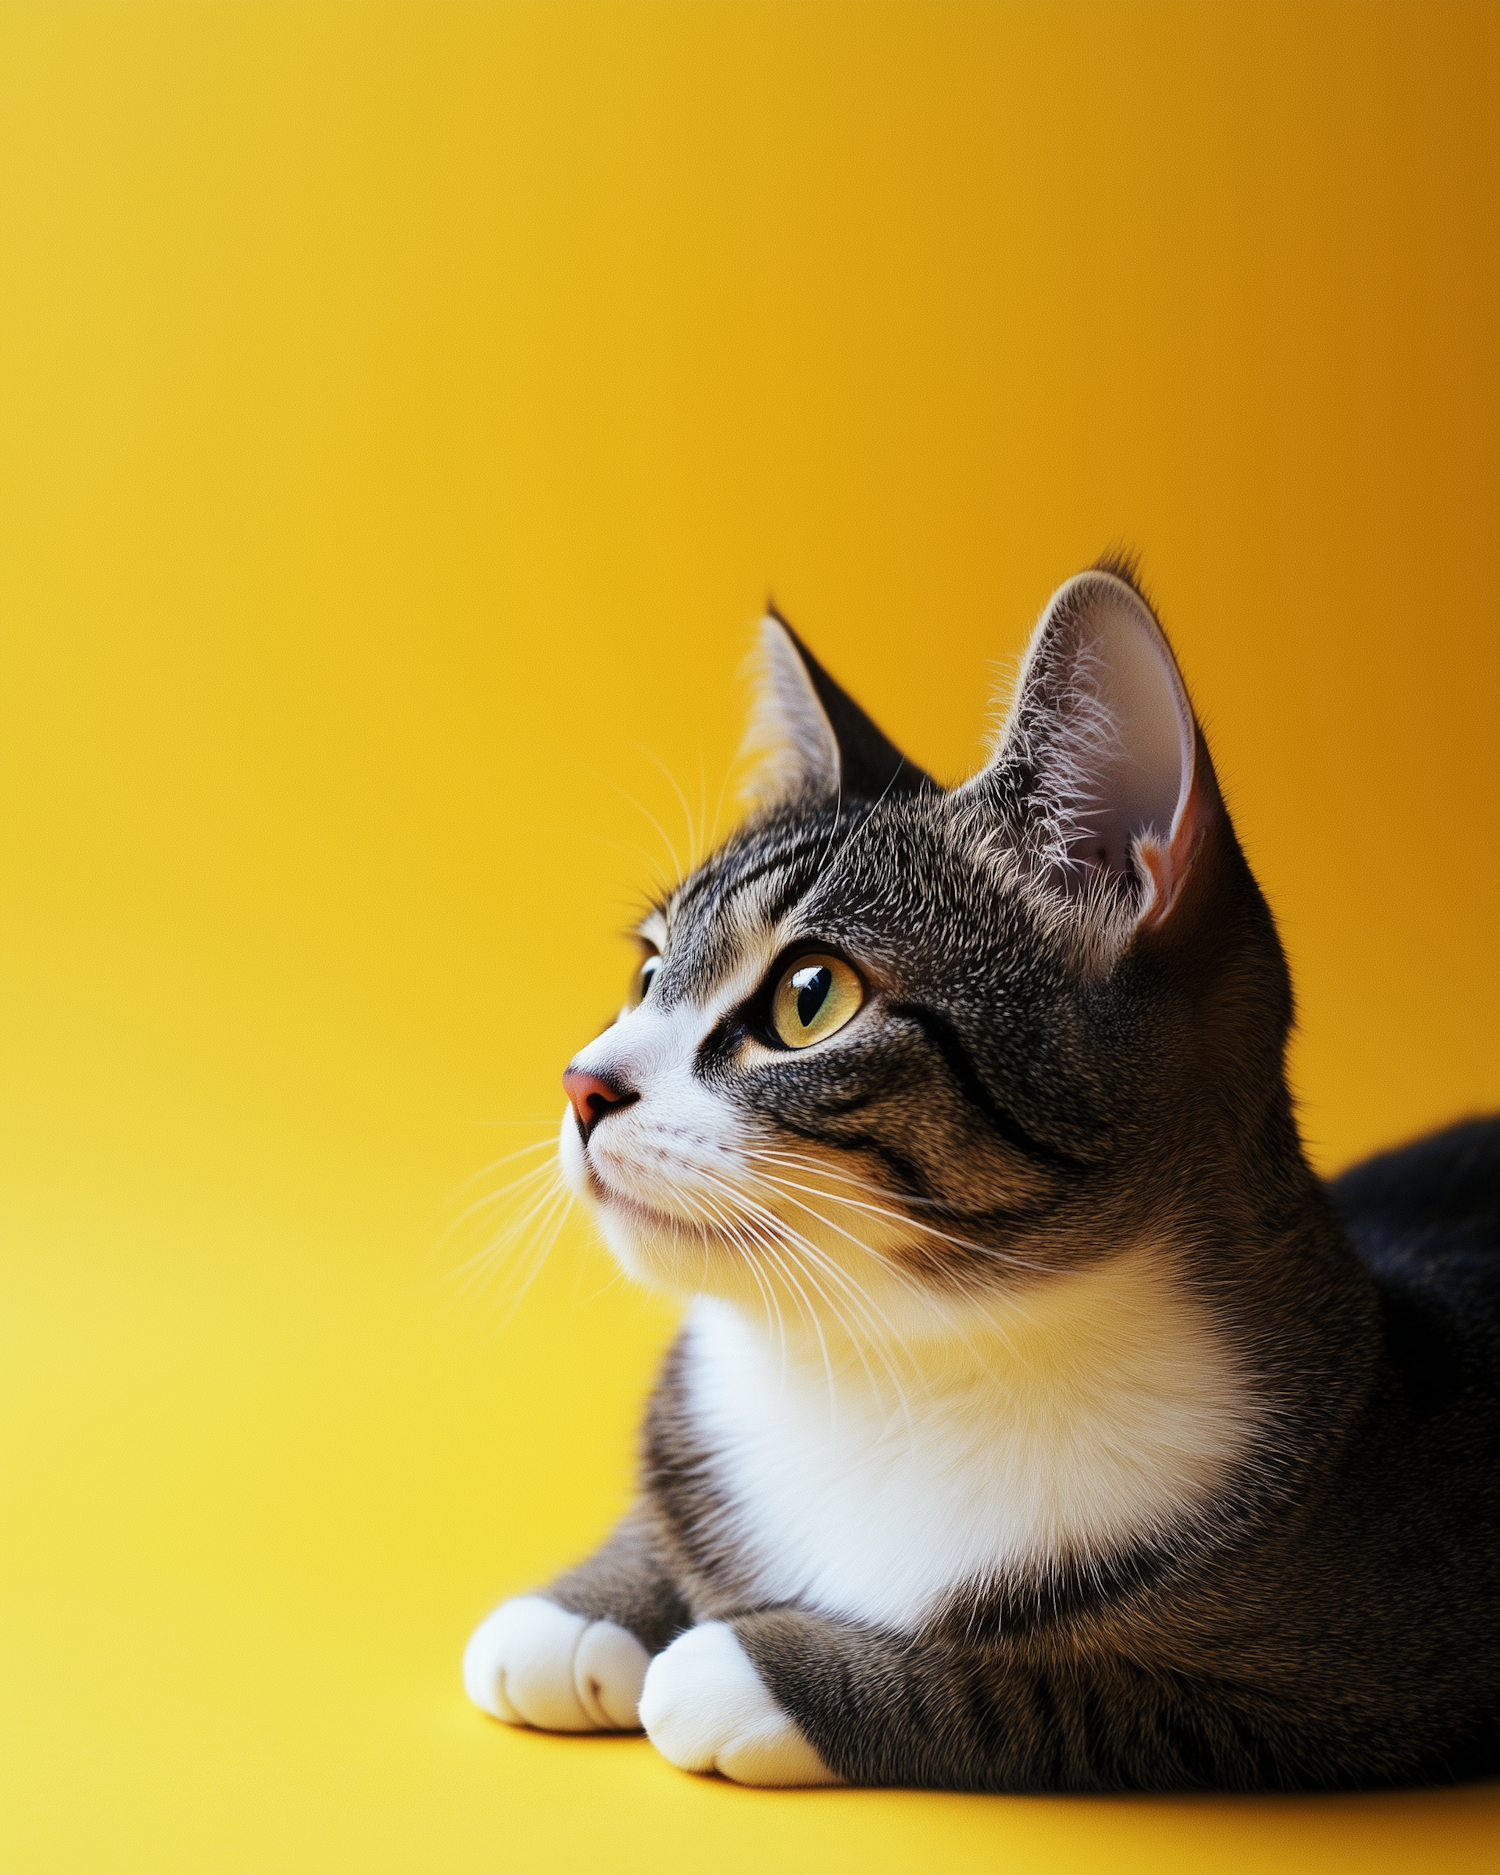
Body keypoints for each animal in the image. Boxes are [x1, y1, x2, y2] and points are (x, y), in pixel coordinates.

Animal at [463, 562, 1492, 1792]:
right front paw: (586, 1604)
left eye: (809, 998)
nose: (582, 1083)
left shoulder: (1344, 1674)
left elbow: (1065, 1691)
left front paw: (753, 1666)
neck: (893, 1364)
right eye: (648, 972)